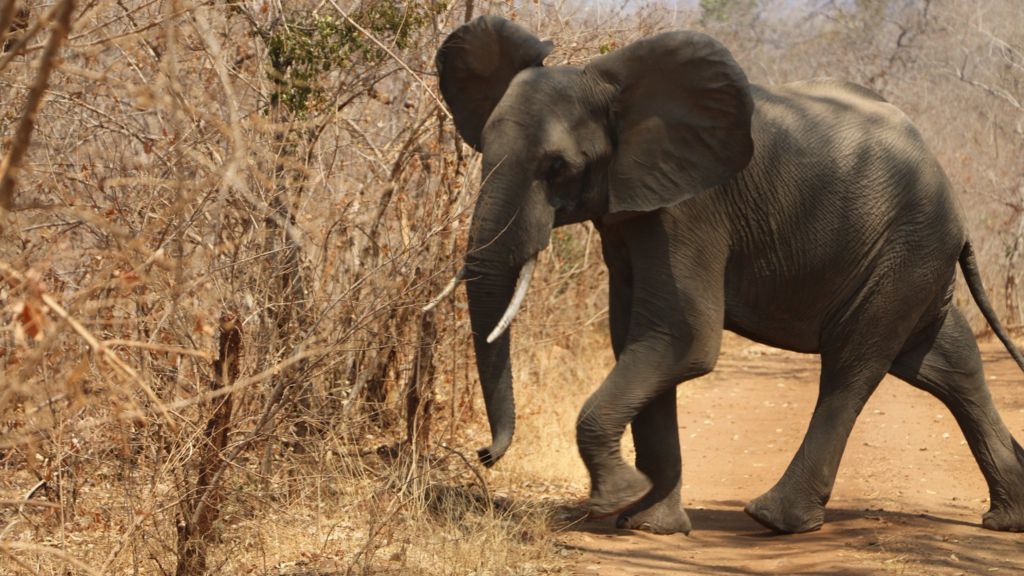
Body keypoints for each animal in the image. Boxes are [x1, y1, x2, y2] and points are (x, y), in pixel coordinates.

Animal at [429, 15, 1024, 535]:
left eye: (558, 168)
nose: (485, 453)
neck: (619, 92)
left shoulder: (692, 210)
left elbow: (682, 339)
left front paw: (617, 498)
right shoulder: (633, 214)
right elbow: (635, 338)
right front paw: (650, 526)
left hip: (904, 247)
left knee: (853, 364)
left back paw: (774, 520)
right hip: (915, 256)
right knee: (946, 364)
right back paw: (1007, 518)